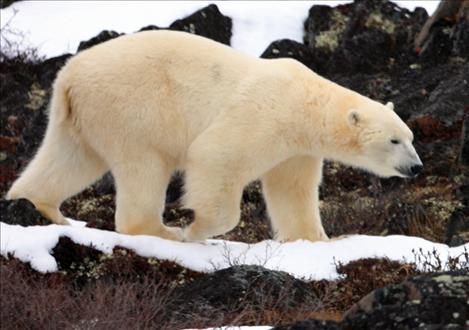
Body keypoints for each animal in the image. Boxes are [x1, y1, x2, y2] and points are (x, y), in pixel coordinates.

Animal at [5, 30, 422, 242]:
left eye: (411, 137)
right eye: (394, 140)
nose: (417, 167)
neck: (305, 102)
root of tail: (69, 76)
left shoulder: (296, 151)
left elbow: (292, 191)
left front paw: (313, 241)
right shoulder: (265, 114)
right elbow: (216, 156)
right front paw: (195, 230)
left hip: (80, 117)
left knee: (68, 158)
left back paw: (40, 207)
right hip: (133, 109)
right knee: (143, 166)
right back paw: (164, 231)